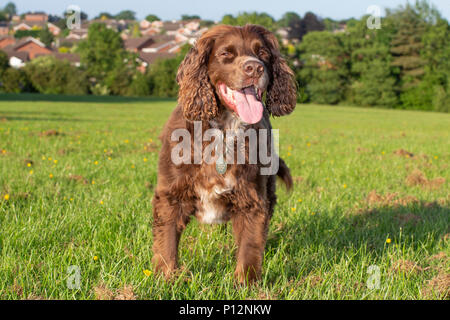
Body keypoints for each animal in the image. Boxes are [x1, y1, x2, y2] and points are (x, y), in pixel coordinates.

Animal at [153, 25, 298, 284]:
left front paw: (246, 284)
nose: (254, 68)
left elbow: (250, 245)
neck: (223, 130)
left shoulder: (252, 198)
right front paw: (166, 279)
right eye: (226, 54)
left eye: (263, 53)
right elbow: (167, 241)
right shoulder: (171, 194)